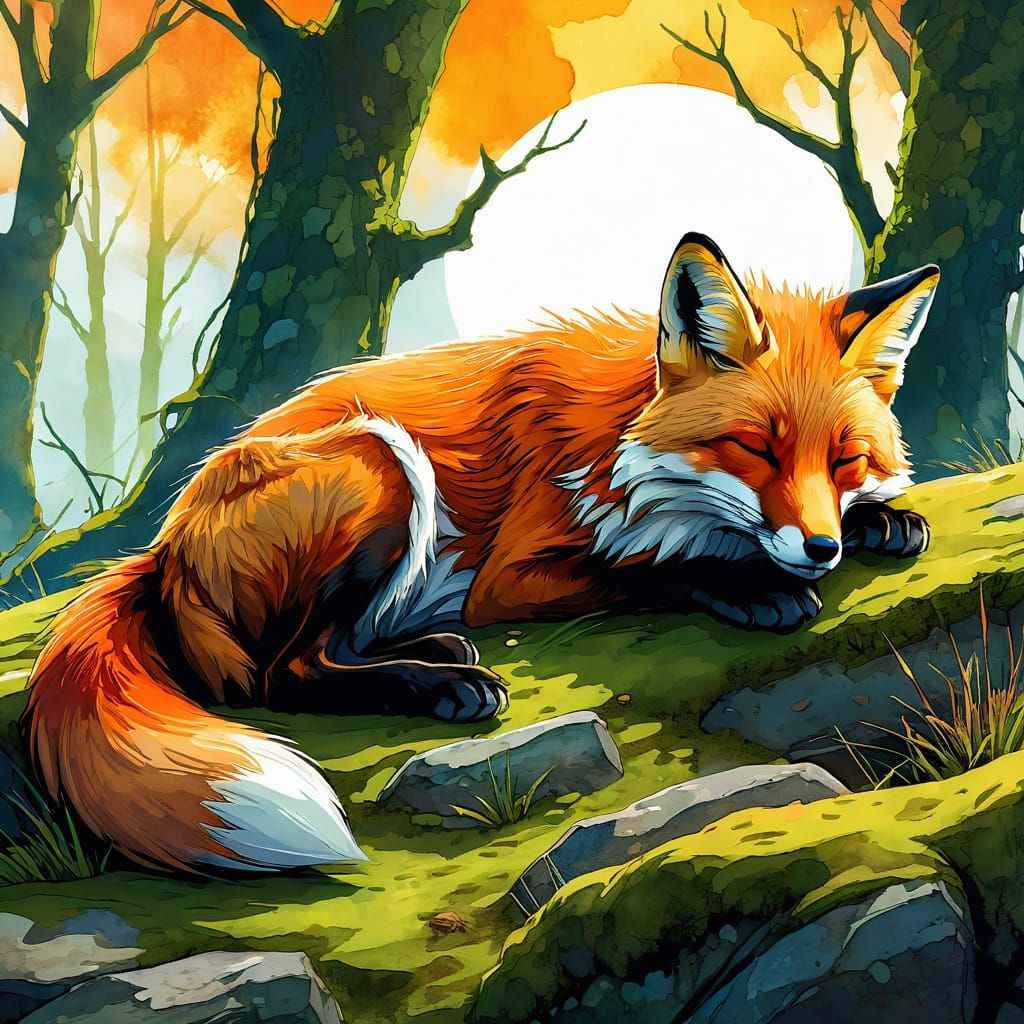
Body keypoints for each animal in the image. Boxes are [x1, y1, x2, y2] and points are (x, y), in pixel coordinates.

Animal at [24, 233, 939, 874]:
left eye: (845, 459)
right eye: (756, 448)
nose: (819, 548)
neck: (619, 438)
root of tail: (163, 545)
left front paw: (882, 522)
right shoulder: (516, 574)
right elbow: (653, 566)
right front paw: (751, 584)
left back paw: (436, 650)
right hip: (383, 465)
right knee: (279, 673)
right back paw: (443, 685)